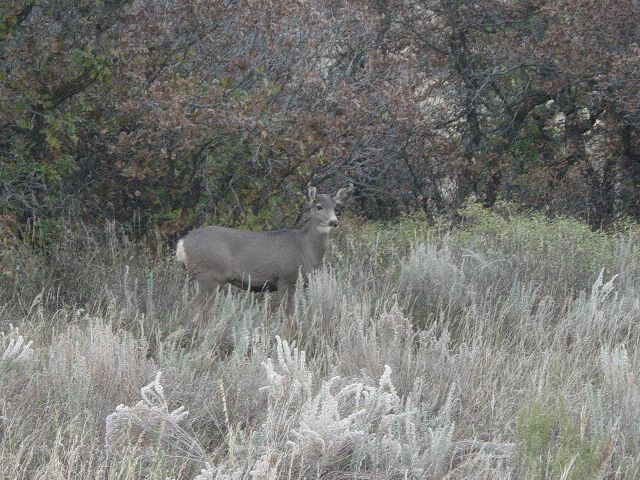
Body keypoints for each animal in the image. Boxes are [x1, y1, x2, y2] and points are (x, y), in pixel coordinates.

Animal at [176, 183, 354, 325]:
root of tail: (182, 242)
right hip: (208, 275)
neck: (306, 248)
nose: (334, 222)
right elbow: (289, 316)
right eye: (318, 206)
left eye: (335, 207)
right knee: (196, 308)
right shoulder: (286, 279)